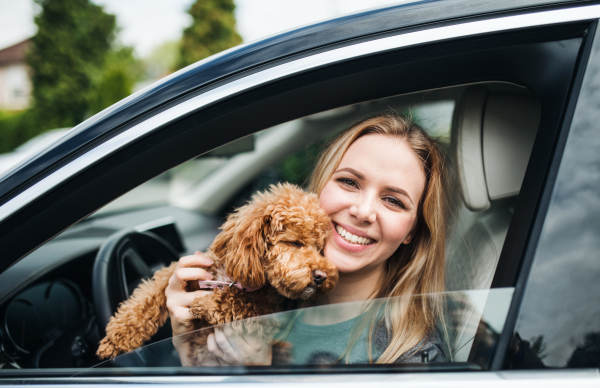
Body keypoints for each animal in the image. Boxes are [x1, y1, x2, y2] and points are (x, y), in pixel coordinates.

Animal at [96, 183, 336, 362]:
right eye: (294, 243)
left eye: (320, 248)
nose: (322, 277)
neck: (228, 279)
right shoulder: (179, 270)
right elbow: (146, 299)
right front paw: (116, 340)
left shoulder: (268, 316)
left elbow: (242, 304)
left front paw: (205, 304)